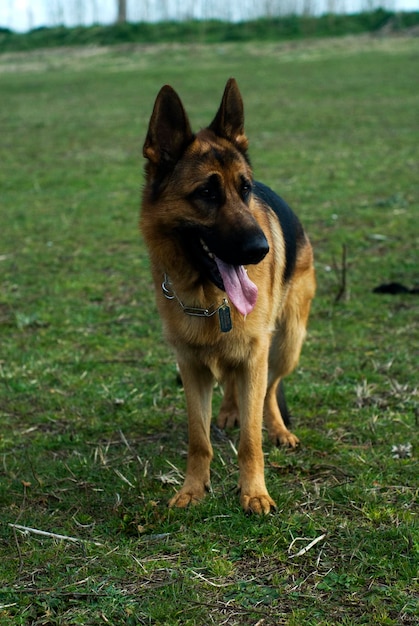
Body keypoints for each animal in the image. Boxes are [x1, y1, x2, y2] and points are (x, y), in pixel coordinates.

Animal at [140, 78, 316, 512]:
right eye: (206, 193)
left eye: (244, 189)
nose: (261, 250)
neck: (210, 301)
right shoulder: (190, 365)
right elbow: (198, 438)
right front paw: (192, 489)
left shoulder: (255, 354)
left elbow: (251, 439)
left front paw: (254, 492)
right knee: (235, 385)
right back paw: (229, 411)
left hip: (287, 343)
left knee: (269, 389)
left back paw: (278, 429)